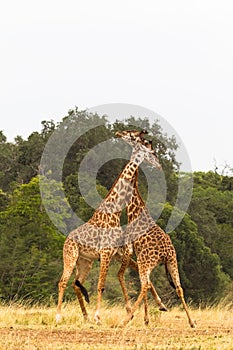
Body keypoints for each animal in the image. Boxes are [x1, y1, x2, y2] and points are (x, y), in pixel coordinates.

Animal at [55, 130, 163, 324]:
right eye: (150, 149)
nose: (158, 165)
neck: (115, 212)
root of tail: (66, 240)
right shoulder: (106, 253)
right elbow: (101, 285)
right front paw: (99, 316)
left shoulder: (117, 253)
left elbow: (140, 278)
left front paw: (159, 305)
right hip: (70, 256)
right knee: (63, 282)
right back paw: (59, 316)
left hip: (85, 262)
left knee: (76, 283)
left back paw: (85, 316)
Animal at [115, 131, 196, 328]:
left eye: (131, 135)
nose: (118, 132)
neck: (134, 208)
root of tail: (165, 252)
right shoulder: (137, 255)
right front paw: (149, 316)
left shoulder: (131, 250)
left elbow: (130, 279)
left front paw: (144, 316)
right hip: (172, 262)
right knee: (179, 287)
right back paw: (192, 321)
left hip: (148, 261)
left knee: (144, 284)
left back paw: (125, 320)